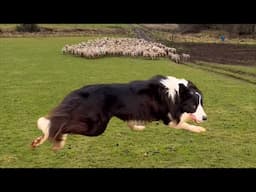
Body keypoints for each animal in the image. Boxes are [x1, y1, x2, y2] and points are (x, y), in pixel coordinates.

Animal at [32, 75, 208, 150]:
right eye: (193, 104)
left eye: (201, 103)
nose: (205, 118)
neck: (175, 93)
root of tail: (80, 91)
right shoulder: (169, 119)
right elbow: (184, 123)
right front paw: (199, 129)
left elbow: (131, 122)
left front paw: (137, 127)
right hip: (96, 126)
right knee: (63, 125)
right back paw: (53, 139)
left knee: (61, 122)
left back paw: (41, 140)